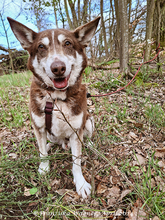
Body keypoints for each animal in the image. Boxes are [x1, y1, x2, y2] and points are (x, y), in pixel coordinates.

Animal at [7, 15, 100, 198]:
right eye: (41, 47)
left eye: (68, 43)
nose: (58, 68)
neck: (57, 98)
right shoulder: (38, 126)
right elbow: (42, 152)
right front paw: (44, 168)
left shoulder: (76, 129)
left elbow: (76, 161)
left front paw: (80, 183)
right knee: (49, 143)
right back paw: (51, 145)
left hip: (89, 121)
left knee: (87, 137)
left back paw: (90, 144)